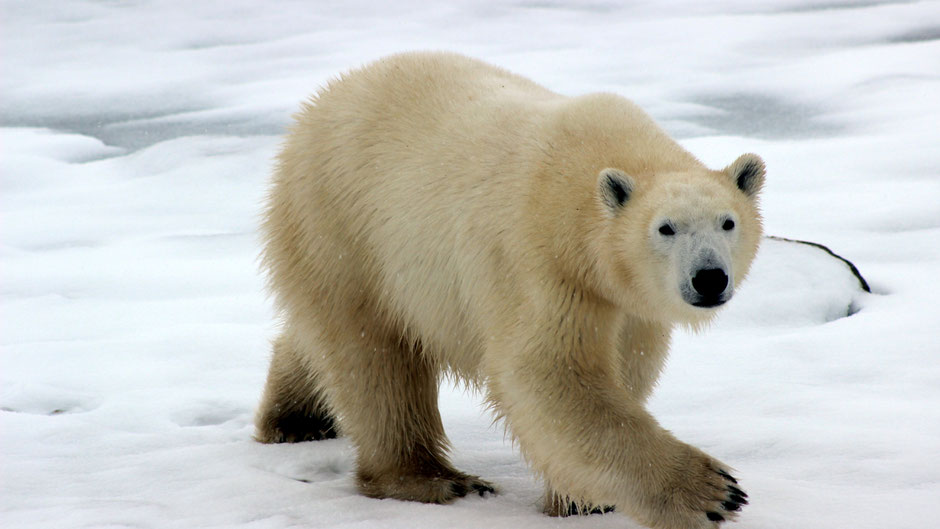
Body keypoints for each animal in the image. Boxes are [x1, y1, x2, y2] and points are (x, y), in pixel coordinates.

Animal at [258, 52, 764, 528]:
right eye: (666, 228)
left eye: (727, 222)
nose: (709, 277)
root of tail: (319, 103)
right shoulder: (541, 262)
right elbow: (547, 373)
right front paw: (713, 493)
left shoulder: (626, 301)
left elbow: (627, 364)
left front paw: (580, 499)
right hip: (343, 225)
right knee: (373, 358)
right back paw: (433, 479)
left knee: (321, 340)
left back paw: (295, 419)